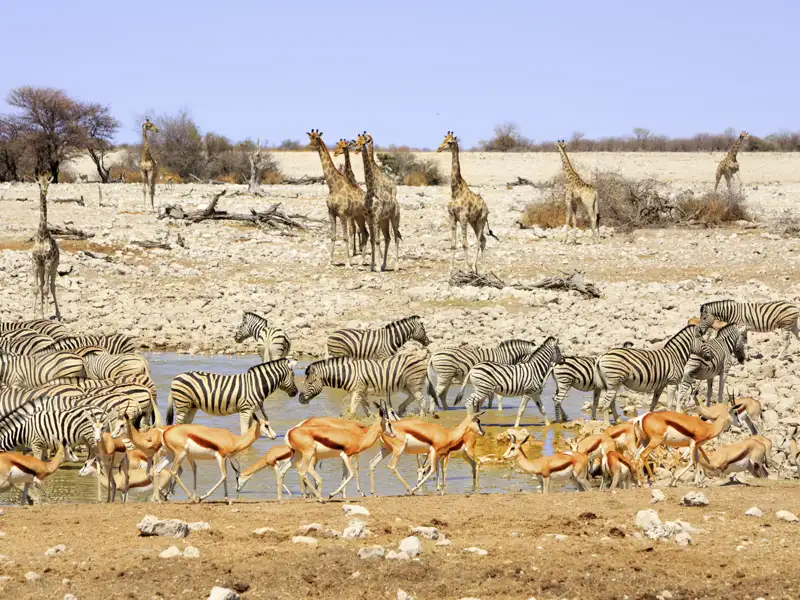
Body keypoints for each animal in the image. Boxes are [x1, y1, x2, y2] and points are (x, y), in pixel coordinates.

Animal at [166, 358, 298, 434]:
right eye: (293, 375)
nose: (296, 392)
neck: (256, 385)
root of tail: (176, 377)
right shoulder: (245, 410)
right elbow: (244, 433)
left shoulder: (252, 412)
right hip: (182, 404)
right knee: (175, 426)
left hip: (191, 406)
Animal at [300, 352, 432, 416]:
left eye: (310, 383)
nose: (300, 399)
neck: (347, 374)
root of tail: (423, 360)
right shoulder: (361, 393)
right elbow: (366, 411)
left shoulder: (358, 391)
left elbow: (351, 411)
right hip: (406, 385)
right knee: (413, 396)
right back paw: (401, 409)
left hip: (413, 383)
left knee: (422, 400)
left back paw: (422, 419)